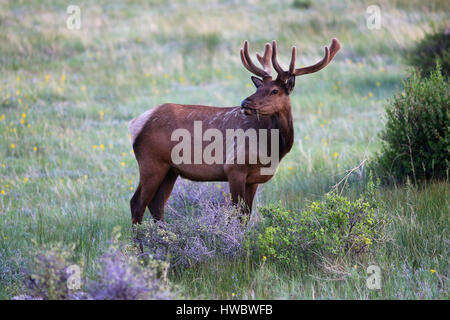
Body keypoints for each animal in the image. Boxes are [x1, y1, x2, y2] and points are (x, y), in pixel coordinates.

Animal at [128, 38, 340, 222]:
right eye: (258, 88)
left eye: (274, 91)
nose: (245, 102)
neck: (271, 149)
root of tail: (136, 123)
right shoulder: (234, 167)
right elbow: (237, 214)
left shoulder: (253, 179)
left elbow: (246, 215)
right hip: (152, 163)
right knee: (137, 203)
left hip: (170, 170)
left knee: (156, 205)